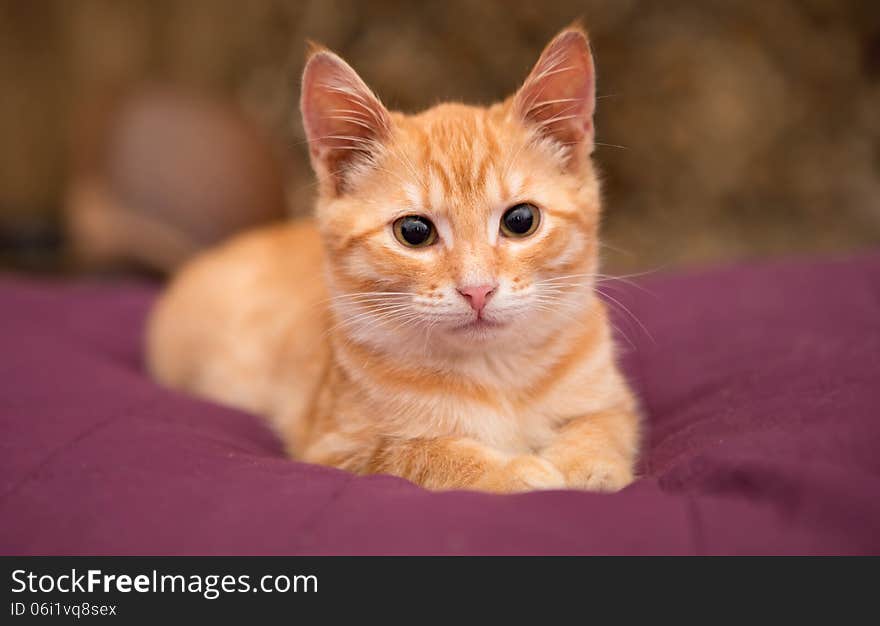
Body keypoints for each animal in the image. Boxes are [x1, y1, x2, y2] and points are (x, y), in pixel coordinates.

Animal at [144, 26, 640, 490]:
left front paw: (585, 466)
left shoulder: (614, 400)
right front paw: (515, 472)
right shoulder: (335, 445)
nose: (477, 290)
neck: (493, 374)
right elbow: (419, 452)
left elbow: (604, 425)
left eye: (521, 220)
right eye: (414, 232)